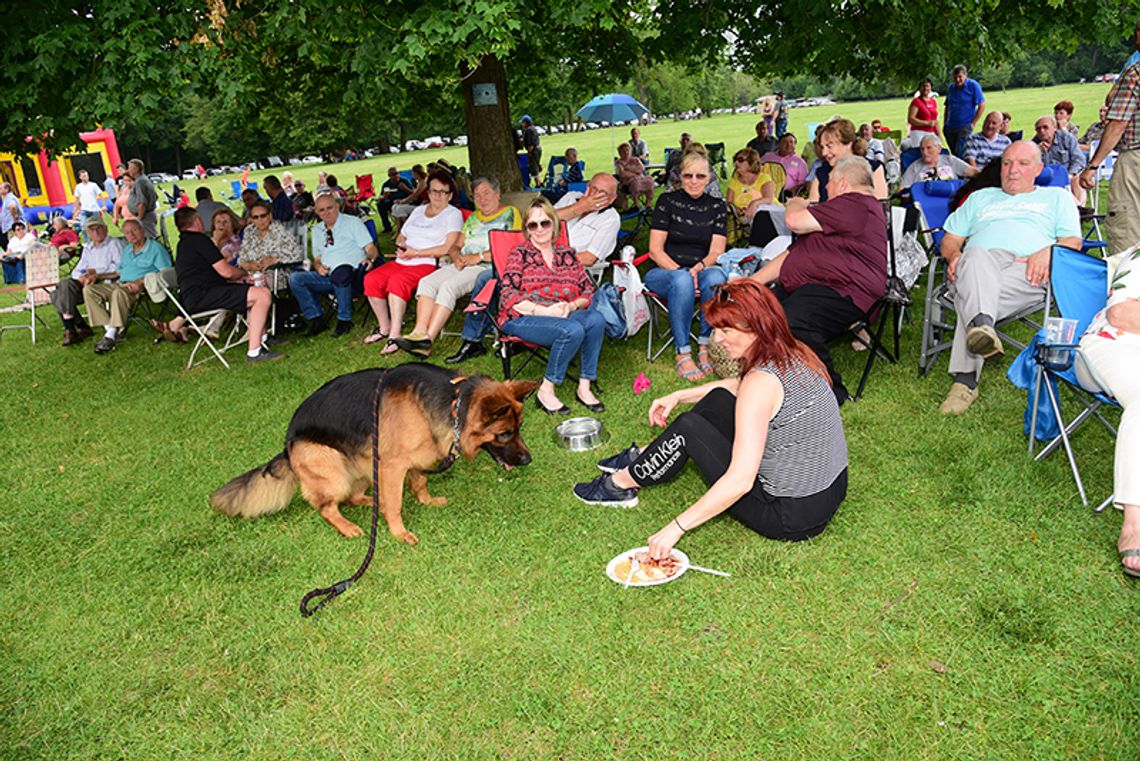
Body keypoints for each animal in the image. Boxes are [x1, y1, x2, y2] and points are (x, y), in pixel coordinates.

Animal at [213, 362, 538, 539]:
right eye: (505, 433)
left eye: (521, 426)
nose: (528, 459)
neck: (454, 402)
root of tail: (287, 443)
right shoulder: (393, 464)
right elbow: (395, 505)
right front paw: (399, 533)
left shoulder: (417, 457)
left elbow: (419, 482)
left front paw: (426, 501)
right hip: (335, 469)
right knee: (326, 507)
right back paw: (347, 526)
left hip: (364, 465)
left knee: (354, 496)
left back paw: (371, 501)